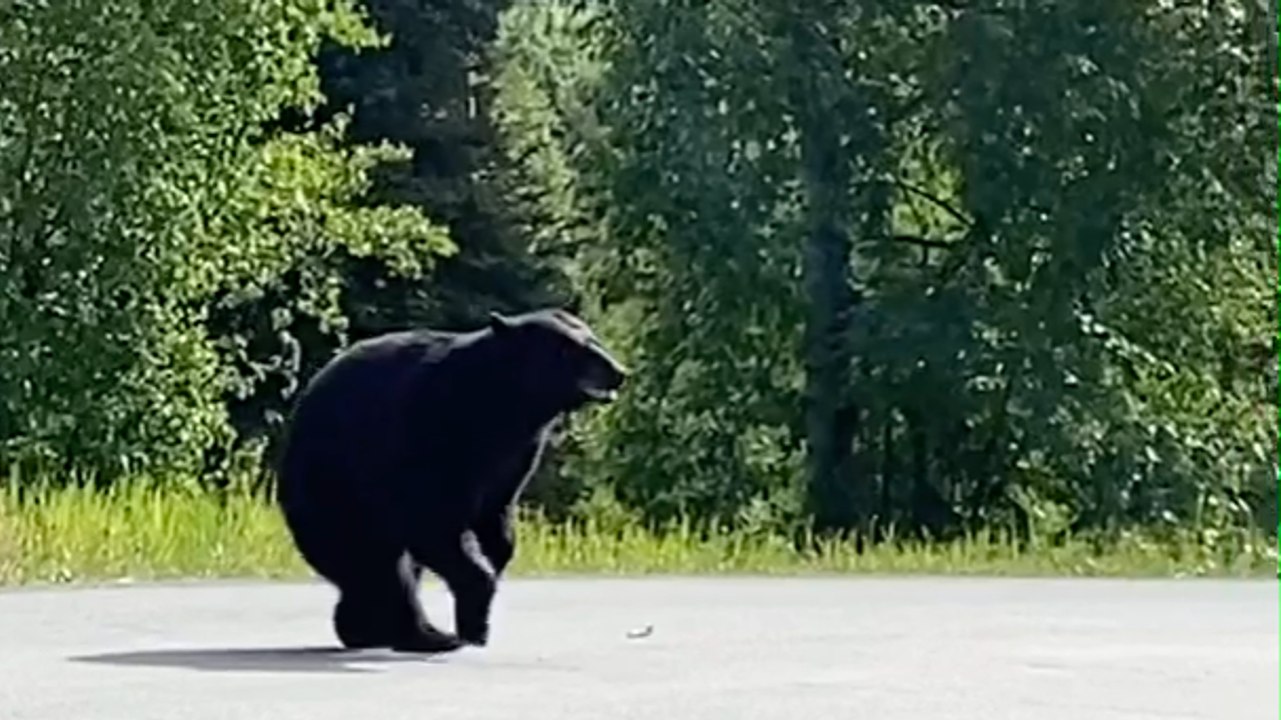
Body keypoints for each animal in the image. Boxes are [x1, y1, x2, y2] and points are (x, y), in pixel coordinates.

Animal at [274, 308, 627, 653]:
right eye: (570, 347)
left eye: (593, 339)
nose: (619, 371)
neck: (505, 406)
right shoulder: (429, 433)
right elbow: (432, 521)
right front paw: (475, 617)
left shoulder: (516, 455)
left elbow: (497, 517)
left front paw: (493, 564)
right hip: (336, 498)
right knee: (380, 568)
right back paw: (425, 635)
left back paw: (363, 628)